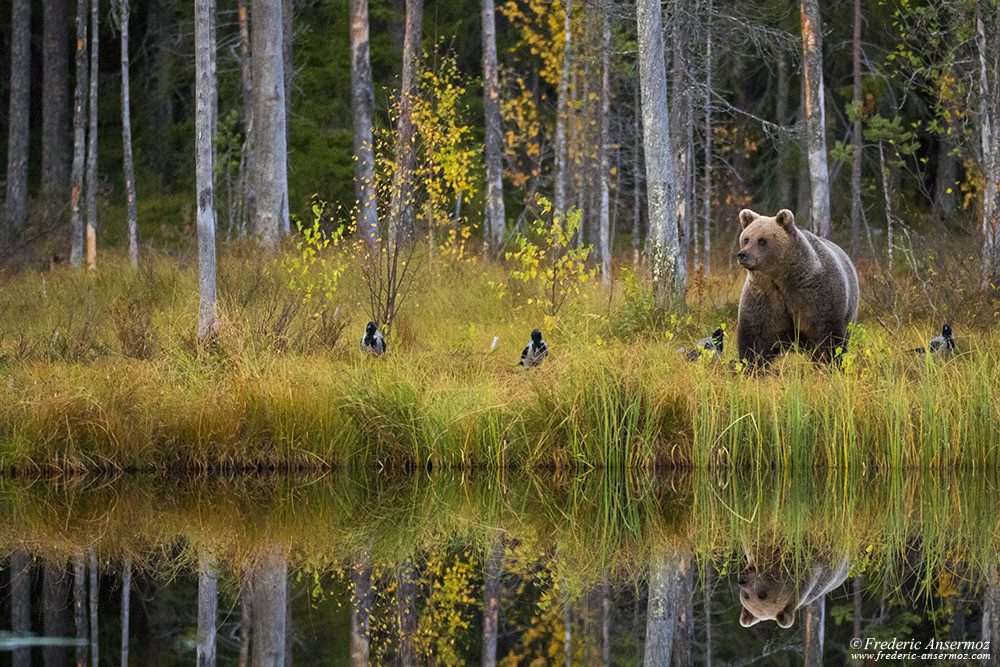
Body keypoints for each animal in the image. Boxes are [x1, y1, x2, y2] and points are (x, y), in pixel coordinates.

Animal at [736, 210, 860, 370]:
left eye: (762, 240)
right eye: (746, 239)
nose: (742, 255)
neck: (782, 278)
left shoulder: (815, 294)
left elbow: (827, 336)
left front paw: (827, 364)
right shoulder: (763, 296)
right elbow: (755, 336)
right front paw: (753, 367)